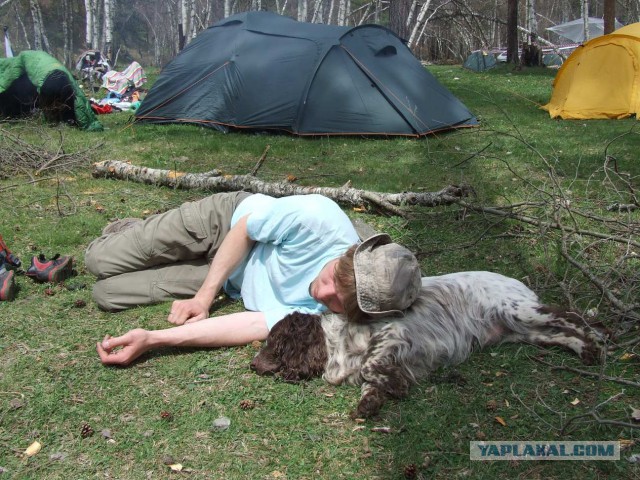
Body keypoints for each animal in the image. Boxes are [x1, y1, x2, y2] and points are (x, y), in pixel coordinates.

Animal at [251, 272, 604, 418]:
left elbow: (370, 366)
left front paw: (394, 387)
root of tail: (516, 282)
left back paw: (596, 341)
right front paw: (370, 402)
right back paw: (585, 350)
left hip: (520, 311)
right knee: (560, 334)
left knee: (570, 316)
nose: (252, 364)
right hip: (524, 331)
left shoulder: (394, 334)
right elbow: (370, 382)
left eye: (273, 342)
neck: (336, 337)